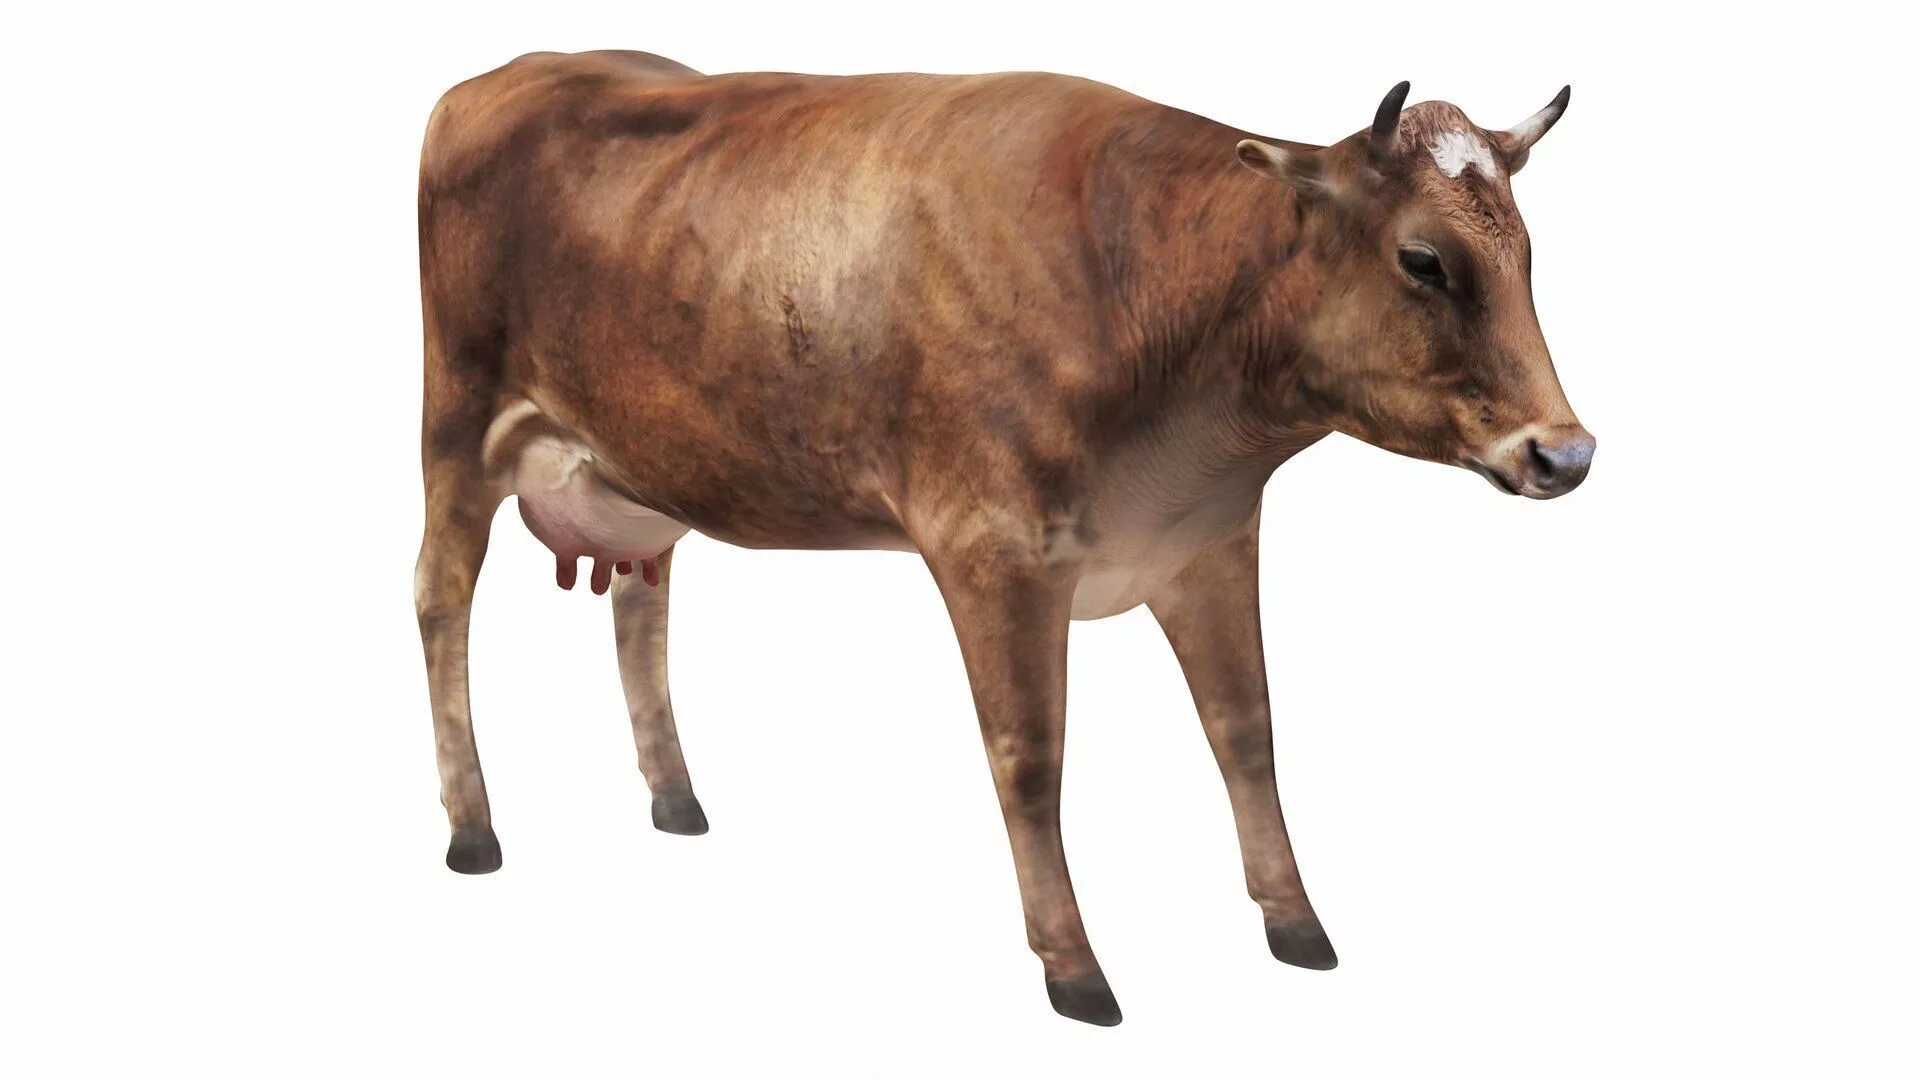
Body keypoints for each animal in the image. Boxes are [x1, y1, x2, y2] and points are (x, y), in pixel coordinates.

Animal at [413, 50, 1593, 1026]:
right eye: (1423, 260)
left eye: (1528, 255)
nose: (1566, 454)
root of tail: (502, 75)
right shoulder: (993, 549)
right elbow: (1031, 756)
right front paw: (1074, 966)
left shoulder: (1210, 540)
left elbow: (1247, 729)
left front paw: (1296, 922)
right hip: (459, 423)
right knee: (439, 598)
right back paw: (472, 828)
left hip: (644, 459)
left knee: (641, 596)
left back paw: (675, 796)